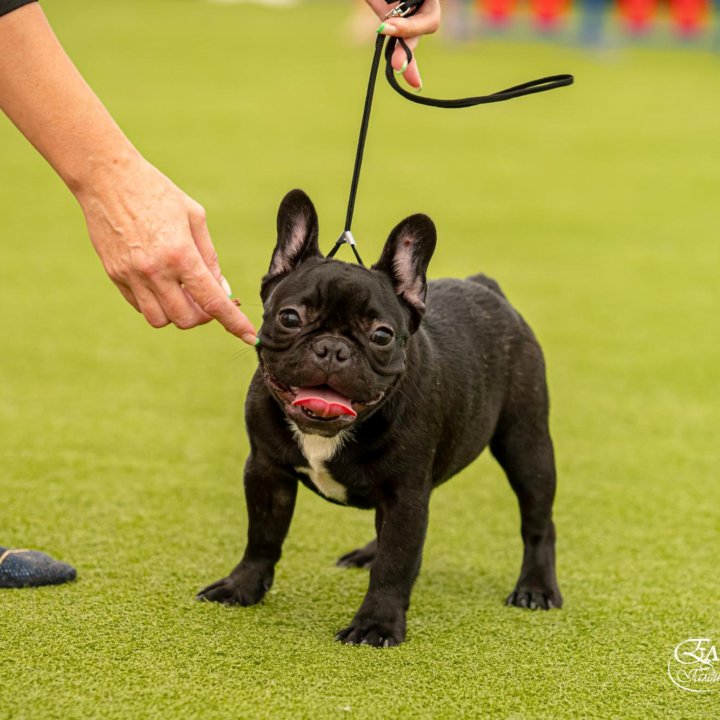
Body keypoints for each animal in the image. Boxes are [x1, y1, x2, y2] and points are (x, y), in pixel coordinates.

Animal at [198, 187, 564, 648]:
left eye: (382, 335)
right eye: (290, 317)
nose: (333, 348)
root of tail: (487, 286)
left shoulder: (405, 493)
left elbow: (395, 563)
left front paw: (376, 623)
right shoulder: (266, 471)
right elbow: (262, 536)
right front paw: (241, 587)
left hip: (526, 444)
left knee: (538, 520)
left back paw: (535, 587)